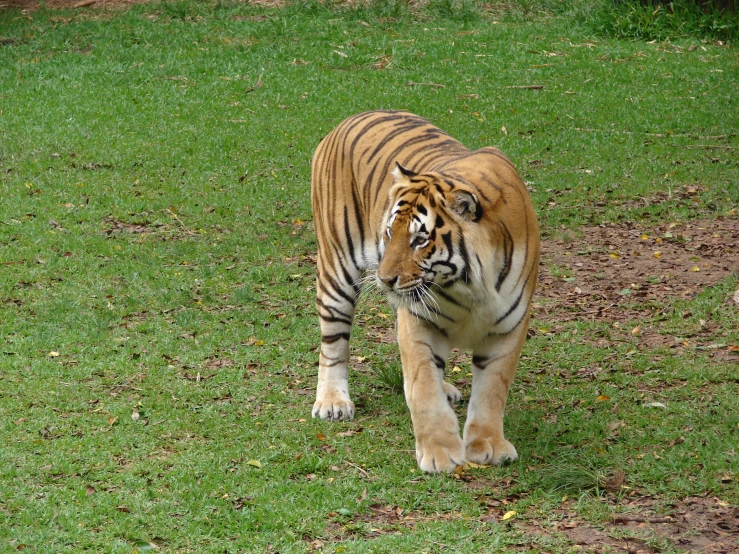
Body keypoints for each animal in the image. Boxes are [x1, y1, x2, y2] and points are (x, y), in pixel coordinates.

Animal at [310, 110, 540, 472]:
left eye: (420, 239)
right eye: (390, 232)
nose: (385, 278)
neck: (472, 288)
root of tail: (351, 117)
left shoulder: (509, 326)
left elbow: (492, 390)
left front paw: (488, 445)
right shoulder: (419, 319)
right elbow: (422, 387)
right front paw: (440, 453)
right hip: (336, 268)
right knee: (333, 341)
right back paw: (333, 402)